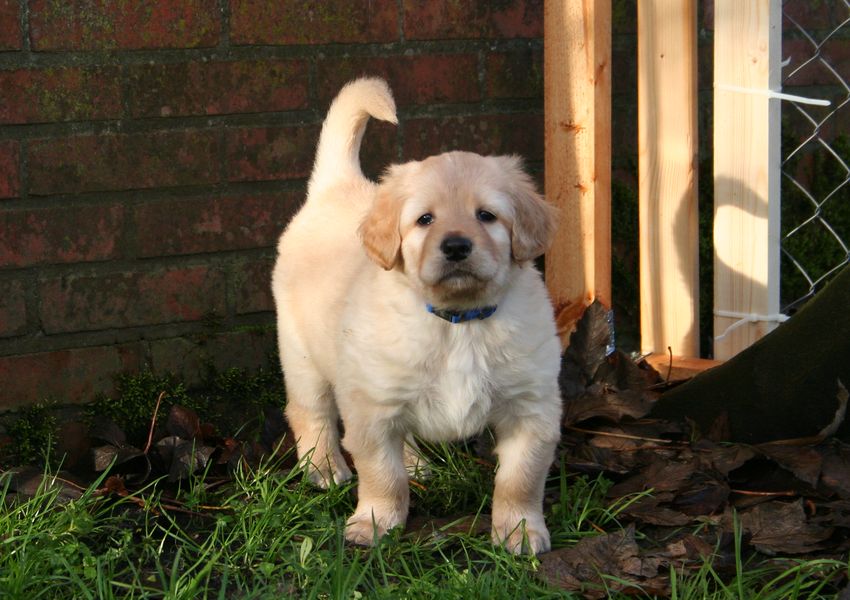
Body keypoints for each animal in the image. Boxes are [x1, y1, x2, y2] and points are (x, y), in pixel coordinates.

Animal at [271, 78, 562, 555]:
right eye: (425, 220)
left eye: (487, 215)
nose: (457, 246)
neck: (459, 322)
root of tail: (339, 186)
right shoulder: (371, 408)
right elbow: (381, 474)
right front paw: (374, 522)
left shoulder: (531, 408)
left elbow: (520, 479)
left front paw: (519, 531)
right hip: (302, 356)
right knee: (309, 412)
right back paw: (324, 468)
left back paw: (416, 465)